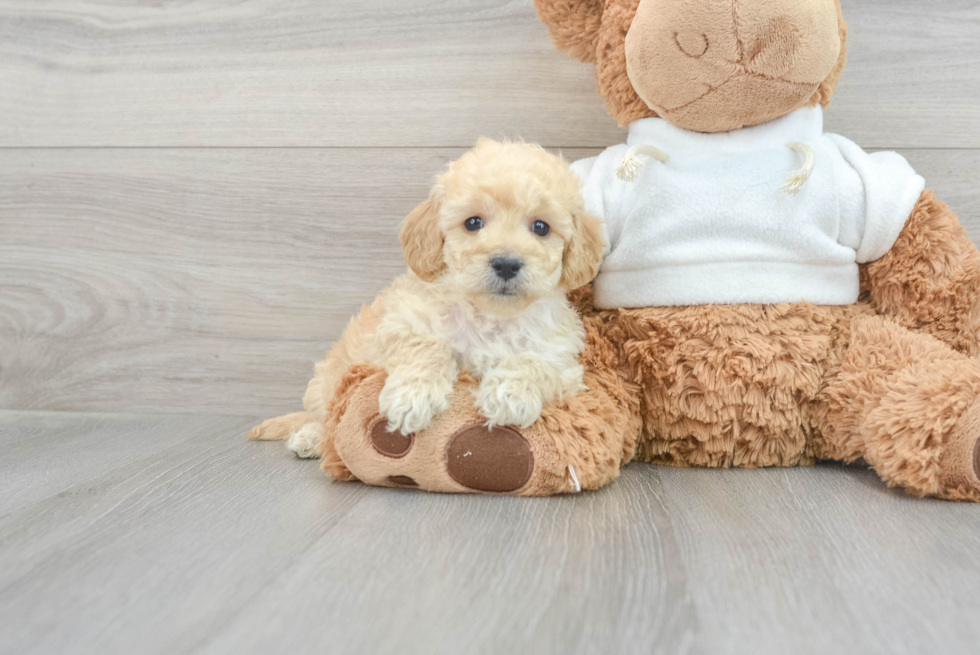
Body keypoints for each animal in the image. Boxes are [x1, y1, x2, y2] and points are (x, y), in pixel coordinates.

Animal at [251, 138, 604, 456]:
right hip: (327, 380)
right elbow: (429, 345)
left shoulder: (565, 365)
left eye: (541, 227)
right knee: (324, 414)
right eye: (473, 222)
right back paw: (311, 436)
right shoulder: (397, 325)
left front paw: (508, 393)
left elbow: (535, 363)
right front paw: (412, 397)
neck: (489, 315)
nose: (506, 263)